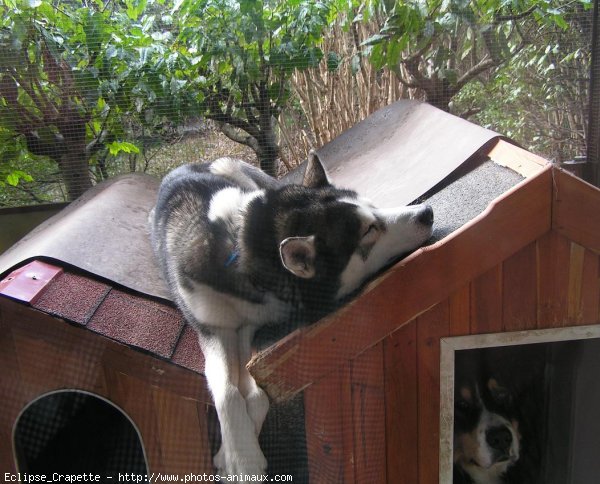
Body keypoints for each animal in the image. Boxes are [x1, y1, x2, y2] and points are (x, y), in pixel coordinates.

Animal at [148, 152, 434, 476]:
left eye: (373, 207)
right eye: (368, 231)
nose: (426, 211)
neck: (241, 242)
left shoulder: (253, 326)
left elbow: (253, 389)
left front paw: (235, 452)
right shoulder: (212, 329)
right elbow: (227, 390)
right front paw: (241, 458)